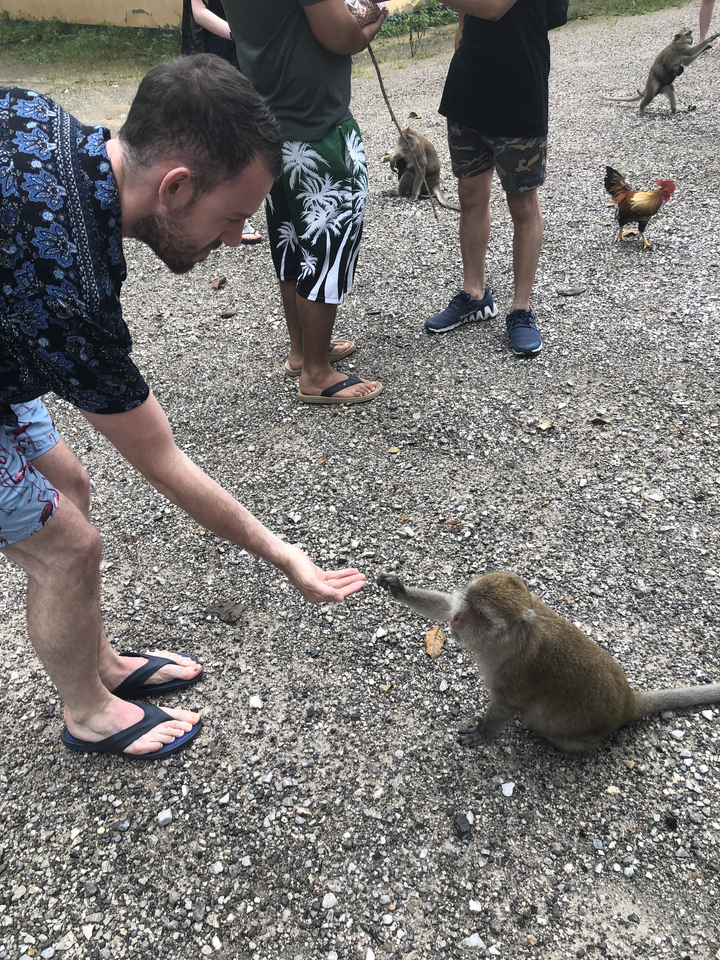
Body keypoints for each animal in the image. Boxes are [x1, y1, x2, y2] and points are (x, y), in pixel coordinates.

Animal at [377, 570, 720, 753]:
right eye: (467, 603)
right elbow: (441, 607)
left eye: (479, 615)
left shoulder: (514, 674)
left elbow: (506, 706)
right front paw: (398, 588)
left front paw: (484, 732)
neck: (509, 640)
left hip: (573, 735)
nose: (459, 618)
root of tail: (627, 702)